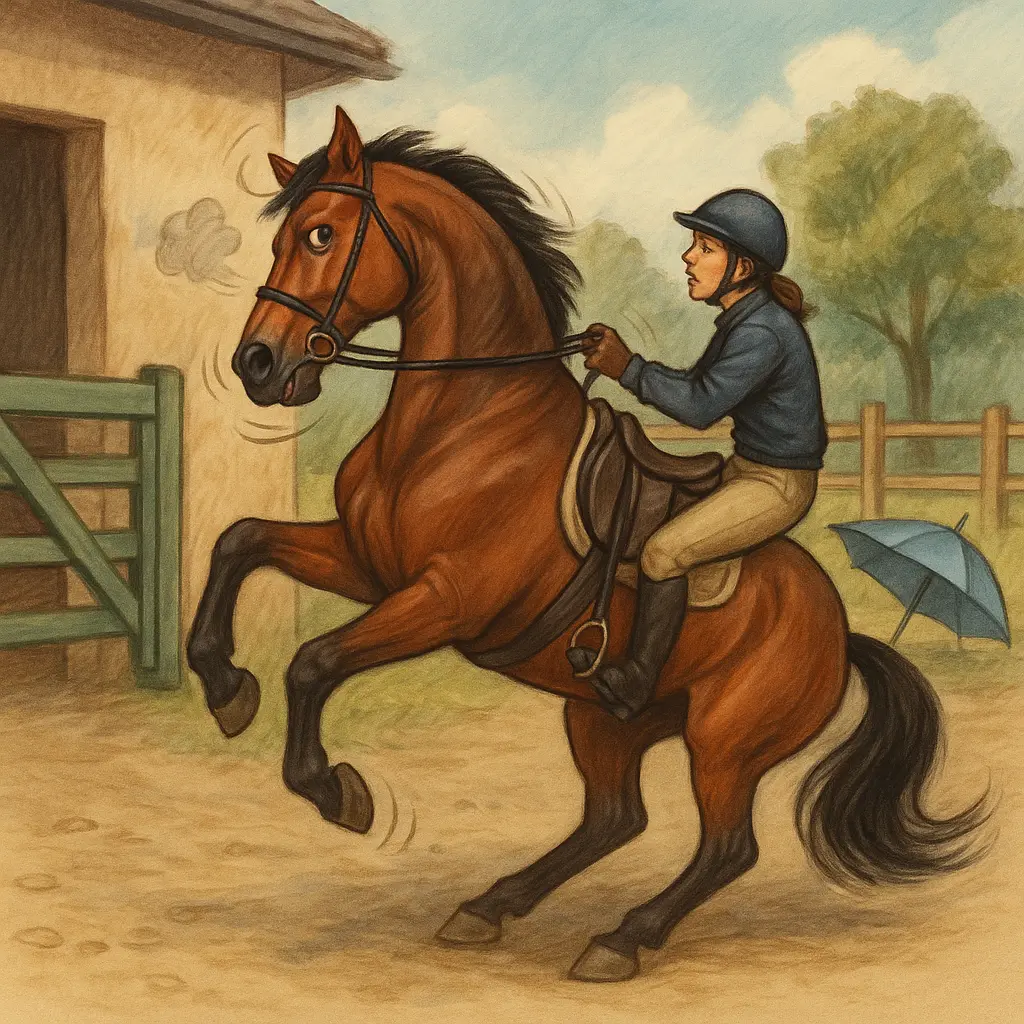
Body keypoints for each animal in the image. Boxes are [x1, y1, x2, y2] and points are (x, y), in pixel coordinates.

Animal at [186, 106, 988, 983]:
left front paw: (337, 793)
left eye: (323, 234)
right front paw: (225, 688)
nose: (258, 364)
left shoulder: (444, 600)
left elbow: (314, 661)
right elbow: (239, 541)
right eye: (283, 238)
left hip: (725, 742)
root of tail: (843, 635)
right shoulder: (368, 568)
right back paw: (489, 907)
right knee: (615, 818)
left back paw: (621, 938)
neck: (464, 424)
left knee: (726, 846)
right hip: (603, 721)